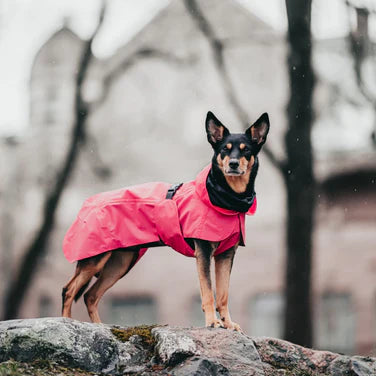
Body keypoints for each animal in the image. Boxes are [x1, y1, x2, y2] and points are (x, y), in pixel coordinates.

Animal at [61, 110, 268, 330]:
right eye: (224, 150)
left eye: (246, 150)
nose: (233, 164)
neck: (224, 198)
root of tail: (87, 204)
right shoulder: (203, 251)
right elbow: (208, 292)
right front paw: (212, 322)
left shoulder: (226, 255)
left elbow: (223, 294)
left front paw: (228, 323)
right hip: (95, 259)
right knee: (69, 290)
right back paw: (66, 322)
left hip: (120, 262)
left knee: (90, 295)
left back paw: (100, 326)